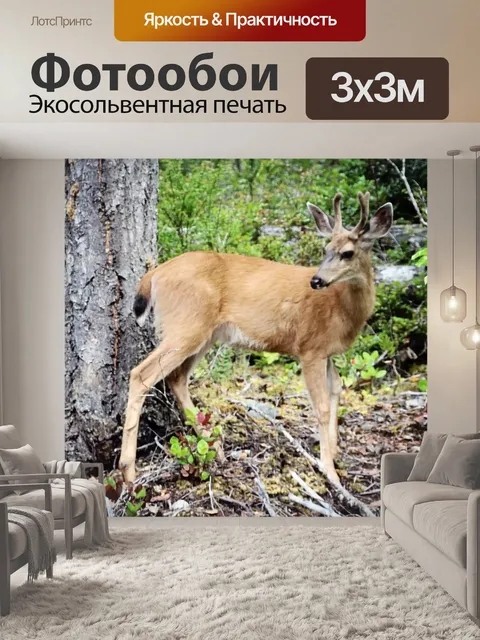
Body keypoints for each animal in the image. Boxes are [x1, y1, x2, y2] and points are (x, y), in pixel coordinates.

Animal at [119, 191, 393, 484]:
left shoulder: (326, 351)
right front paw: (329, 470)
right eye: (325, 249)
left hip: (204, 334)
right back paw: (128, 470)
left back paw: (214, 448)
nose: (317, 280)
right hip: (186, 325)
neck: (341, 306)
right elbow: (320, 406)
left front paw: (335, 452)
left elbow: (336, 390)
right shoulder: (310, 347)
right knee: (142, 374)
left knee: (176, 378)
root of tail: (154, 274)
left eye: (347, 253)